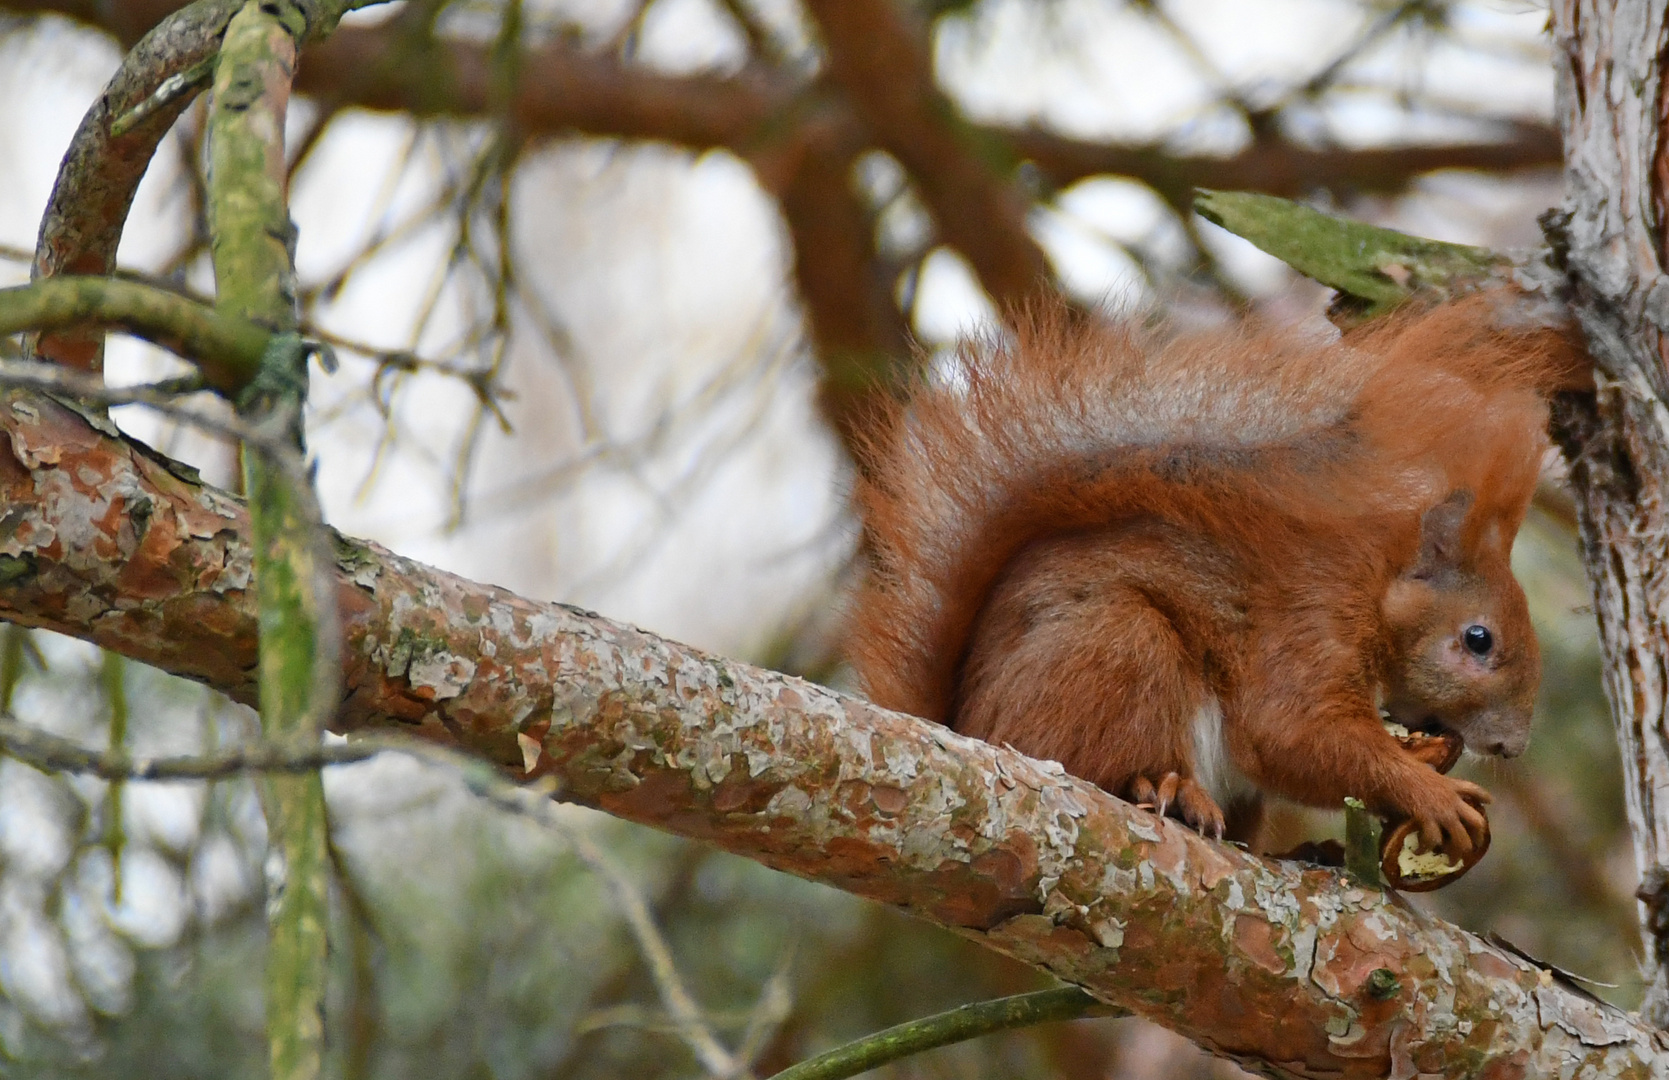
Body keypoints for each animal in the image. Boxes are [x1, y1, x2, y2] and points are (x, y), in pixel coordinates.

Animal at [854, 293, 1582, 854]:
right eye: (1477, 640)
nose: (1511, 745)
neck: (1372, 587)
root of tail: (966, 724)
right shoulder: (1309, 624)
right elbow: (1291, 735)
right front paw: (1427, 789)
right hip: (1116, 649)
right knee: (1096, 759)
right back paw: (1167, 787)